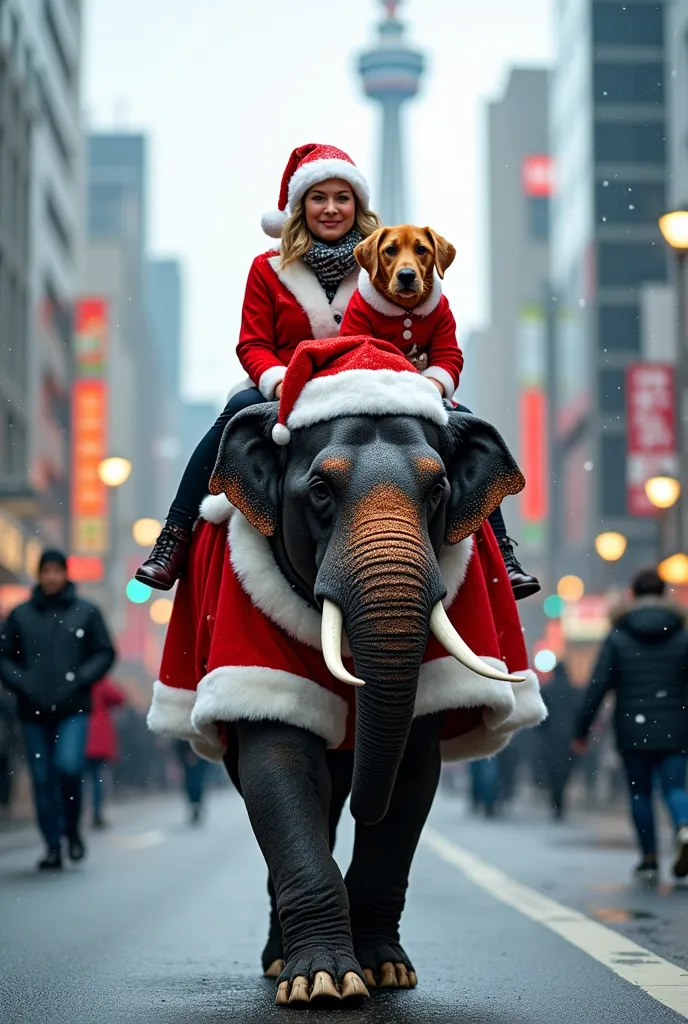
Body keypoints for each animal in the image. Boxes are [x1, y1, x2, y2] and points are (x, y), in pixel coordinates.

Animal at [147, 399, 544, 1007]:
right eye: (319, 490)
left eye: (438, 489)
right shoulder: (245, 623)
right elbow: (277, 762)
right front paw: (321, 984)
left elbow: (413, 775)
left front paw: (386, 972)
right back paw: (279, 960)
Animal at [341, 227, 464, 399]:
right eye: (390, 250)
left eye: (421, 249)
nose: (406, 275)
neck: (406, 309)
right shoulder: (357, 317)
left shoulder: (444, 319)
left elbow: (446, 356)